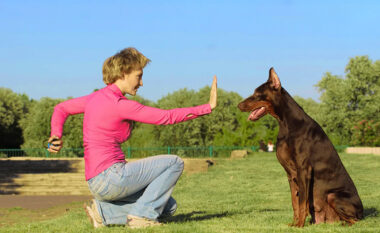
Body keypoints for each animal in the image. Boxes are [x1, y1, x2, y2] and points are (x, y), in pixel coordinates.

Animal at [239, 68, 364, 228]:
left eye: (257, 94)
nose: (238, 105)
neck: (285, 123)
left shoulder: (303, 169)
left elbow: (302, 202)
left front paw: (299, 225)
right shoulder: (290, 175)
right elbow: (295, 202)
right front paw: (293, 224)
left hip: (333, 195)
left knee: (355, 220)